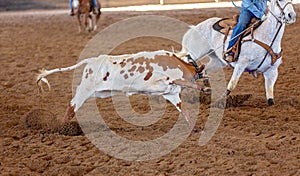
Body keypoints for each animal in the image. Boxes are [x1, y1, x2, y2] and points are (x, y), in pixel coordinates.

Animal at [35, 50, 204, 126]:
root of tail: (93, 60)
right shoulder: (164, 81)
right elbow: (183, 82)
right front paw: (202, 87)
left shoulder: (171, 94)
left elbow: (184, 110)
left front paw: (193, 127)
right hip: (85, 90)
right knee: (72, 106)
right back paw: (61, 127)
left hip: (92, 92)